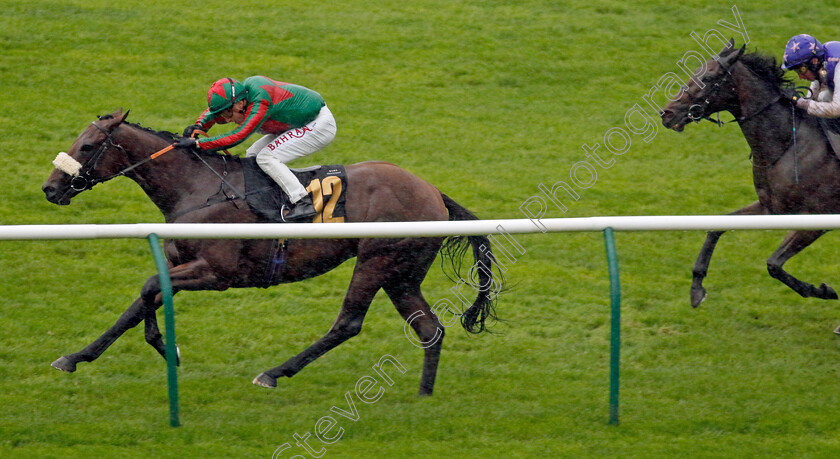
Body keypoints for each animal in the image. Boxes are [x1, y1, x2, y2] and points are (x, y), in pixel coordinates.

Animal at [42, 109, 502, 394]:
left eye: (87, 147)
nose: (49, 188)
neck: (195, 188)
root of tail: (433, 192)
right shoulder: (182, 264)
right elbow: (143, 299)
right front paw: (78, 357)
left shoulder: (217, 273)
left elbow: (150, 286)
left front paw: (163, 346)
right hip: (402, 274)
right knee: (429, 329)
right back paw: (424, 395)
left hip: (378, 260)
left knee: (348, 323)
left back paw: (274, 373)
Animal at [664, 41, 840, 326]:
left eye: (708, 78)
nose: (666, 113)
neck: (787, 145)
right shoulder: (770, 208)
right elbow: (716, 228)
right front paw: (696, 288)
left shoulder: (818, 219)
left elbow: (774, 264)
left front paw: (822, 290)